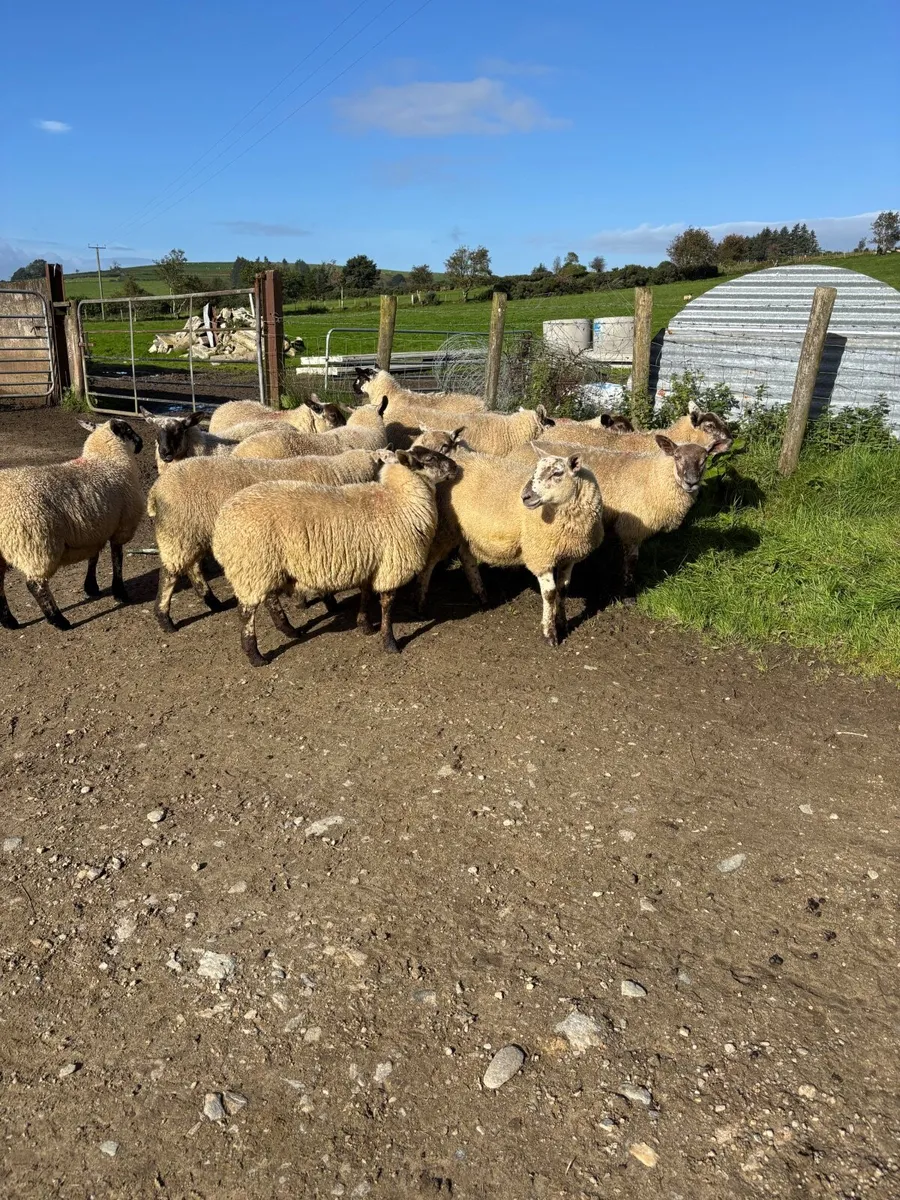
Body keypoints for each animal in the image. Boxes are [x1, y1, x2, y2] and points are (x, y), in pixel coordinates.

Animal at [0, 419, 144, 631]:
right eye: (128, 430)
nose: (141, 442)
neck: (109, 460)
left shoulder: (95, 527)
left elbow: (93, 557)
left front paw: (91, 587)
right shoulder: (120, 527)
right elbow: (117, 559)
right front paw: (120, 593)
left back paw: (9, 621)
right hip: (37, 545)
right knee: (36, 585)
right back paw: (58, 620)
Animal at [147, 449, 389, 632]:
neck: (338, 473)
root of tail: (156, 488)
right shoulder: (314, 542)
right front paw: (324, 602)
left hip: (193, 535)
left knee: (192, 568)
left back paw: (212, 602)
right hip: (180, 531)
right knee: (169, 574)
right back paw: (165, 619)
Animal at [211, 446, 459, 665]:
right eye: (430, 458)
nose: (456, 466)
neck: (397, 500)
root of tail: (221, 525)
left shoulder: (370, 562)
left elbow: (366, 594)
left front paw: (365, 626)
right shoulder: (391, 565)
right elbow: (387, 605)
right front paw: (389, 643)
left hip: (266, 566)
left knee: (270, 599)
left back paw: (289, 630)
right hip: (252, 564)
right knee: (246, 612)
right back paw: (256, 656)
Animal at [417, 449, 604, 646]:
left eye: (557, 473)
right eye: (535, 470)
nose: (525, 496)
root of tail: (458, 460)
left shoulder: (569, 557)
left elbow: (563, 589)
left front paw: (563, 624)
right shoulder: (540, 555)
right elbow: (550, 593)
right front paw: (549, 633)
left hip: (467, 531)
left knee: (466, 557)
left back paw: (482, 596)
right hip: (445, 527)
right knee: (429, 563)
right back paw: (421, 603)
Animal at [520, 433, 729, 597]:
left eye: (705, 459)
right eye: (677, 456)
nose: (691, 482)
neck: (653, 477)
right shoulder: (631, 528)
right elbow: (631, 561)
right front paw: (628, 593)